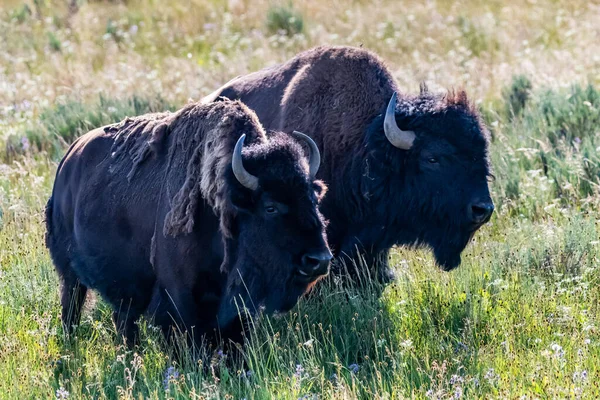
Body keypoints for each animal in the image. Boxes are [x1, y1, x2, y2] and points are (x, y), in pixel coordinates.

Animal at [44, 98, 330, 346]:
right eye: (270, 207)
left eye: (314, 201)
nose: (319, 260)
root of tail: (67, 162)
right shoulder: (181, 302)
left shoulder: (236, 310)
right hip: (70, 274)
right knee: (71, 310)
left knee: (123, 320)